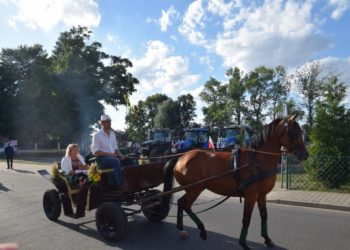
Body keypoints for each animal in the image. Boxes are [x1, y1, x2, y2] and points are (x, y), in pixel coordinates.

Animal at [174, 115, 308, 248]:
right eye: (294, 132)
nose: (305, 154)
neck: (257, 160)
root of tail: (182, 157)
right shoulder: (251, 196)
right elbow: (246, 219)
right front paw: (243, 243)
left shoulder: (261, 195)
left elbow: (264, 216)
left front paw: (267, 239)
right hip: (194, 189)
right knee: (186, 206)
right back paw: (201, 230)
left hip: (193, 189)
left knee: (181, 203)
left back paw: (181, 228)